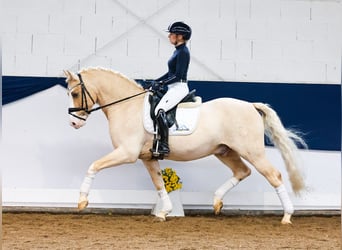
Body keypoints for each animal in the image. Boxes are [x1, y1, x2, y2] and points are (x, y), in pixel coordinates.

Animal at [65, 67, 308, 224]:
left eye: (75, 93)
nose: (74, 123)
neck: (127, 106)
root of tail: (250, 105)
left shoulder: (127, 153)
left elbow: (94, 166)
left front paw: (82, 201)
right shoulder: (147, 157)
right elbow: (159, 183)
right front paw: (164, 213)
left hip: (252, 151)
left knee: (274, 175)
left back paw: (287, 216)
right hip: (225, 151)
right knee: (242, 171)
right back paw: (217, 202)